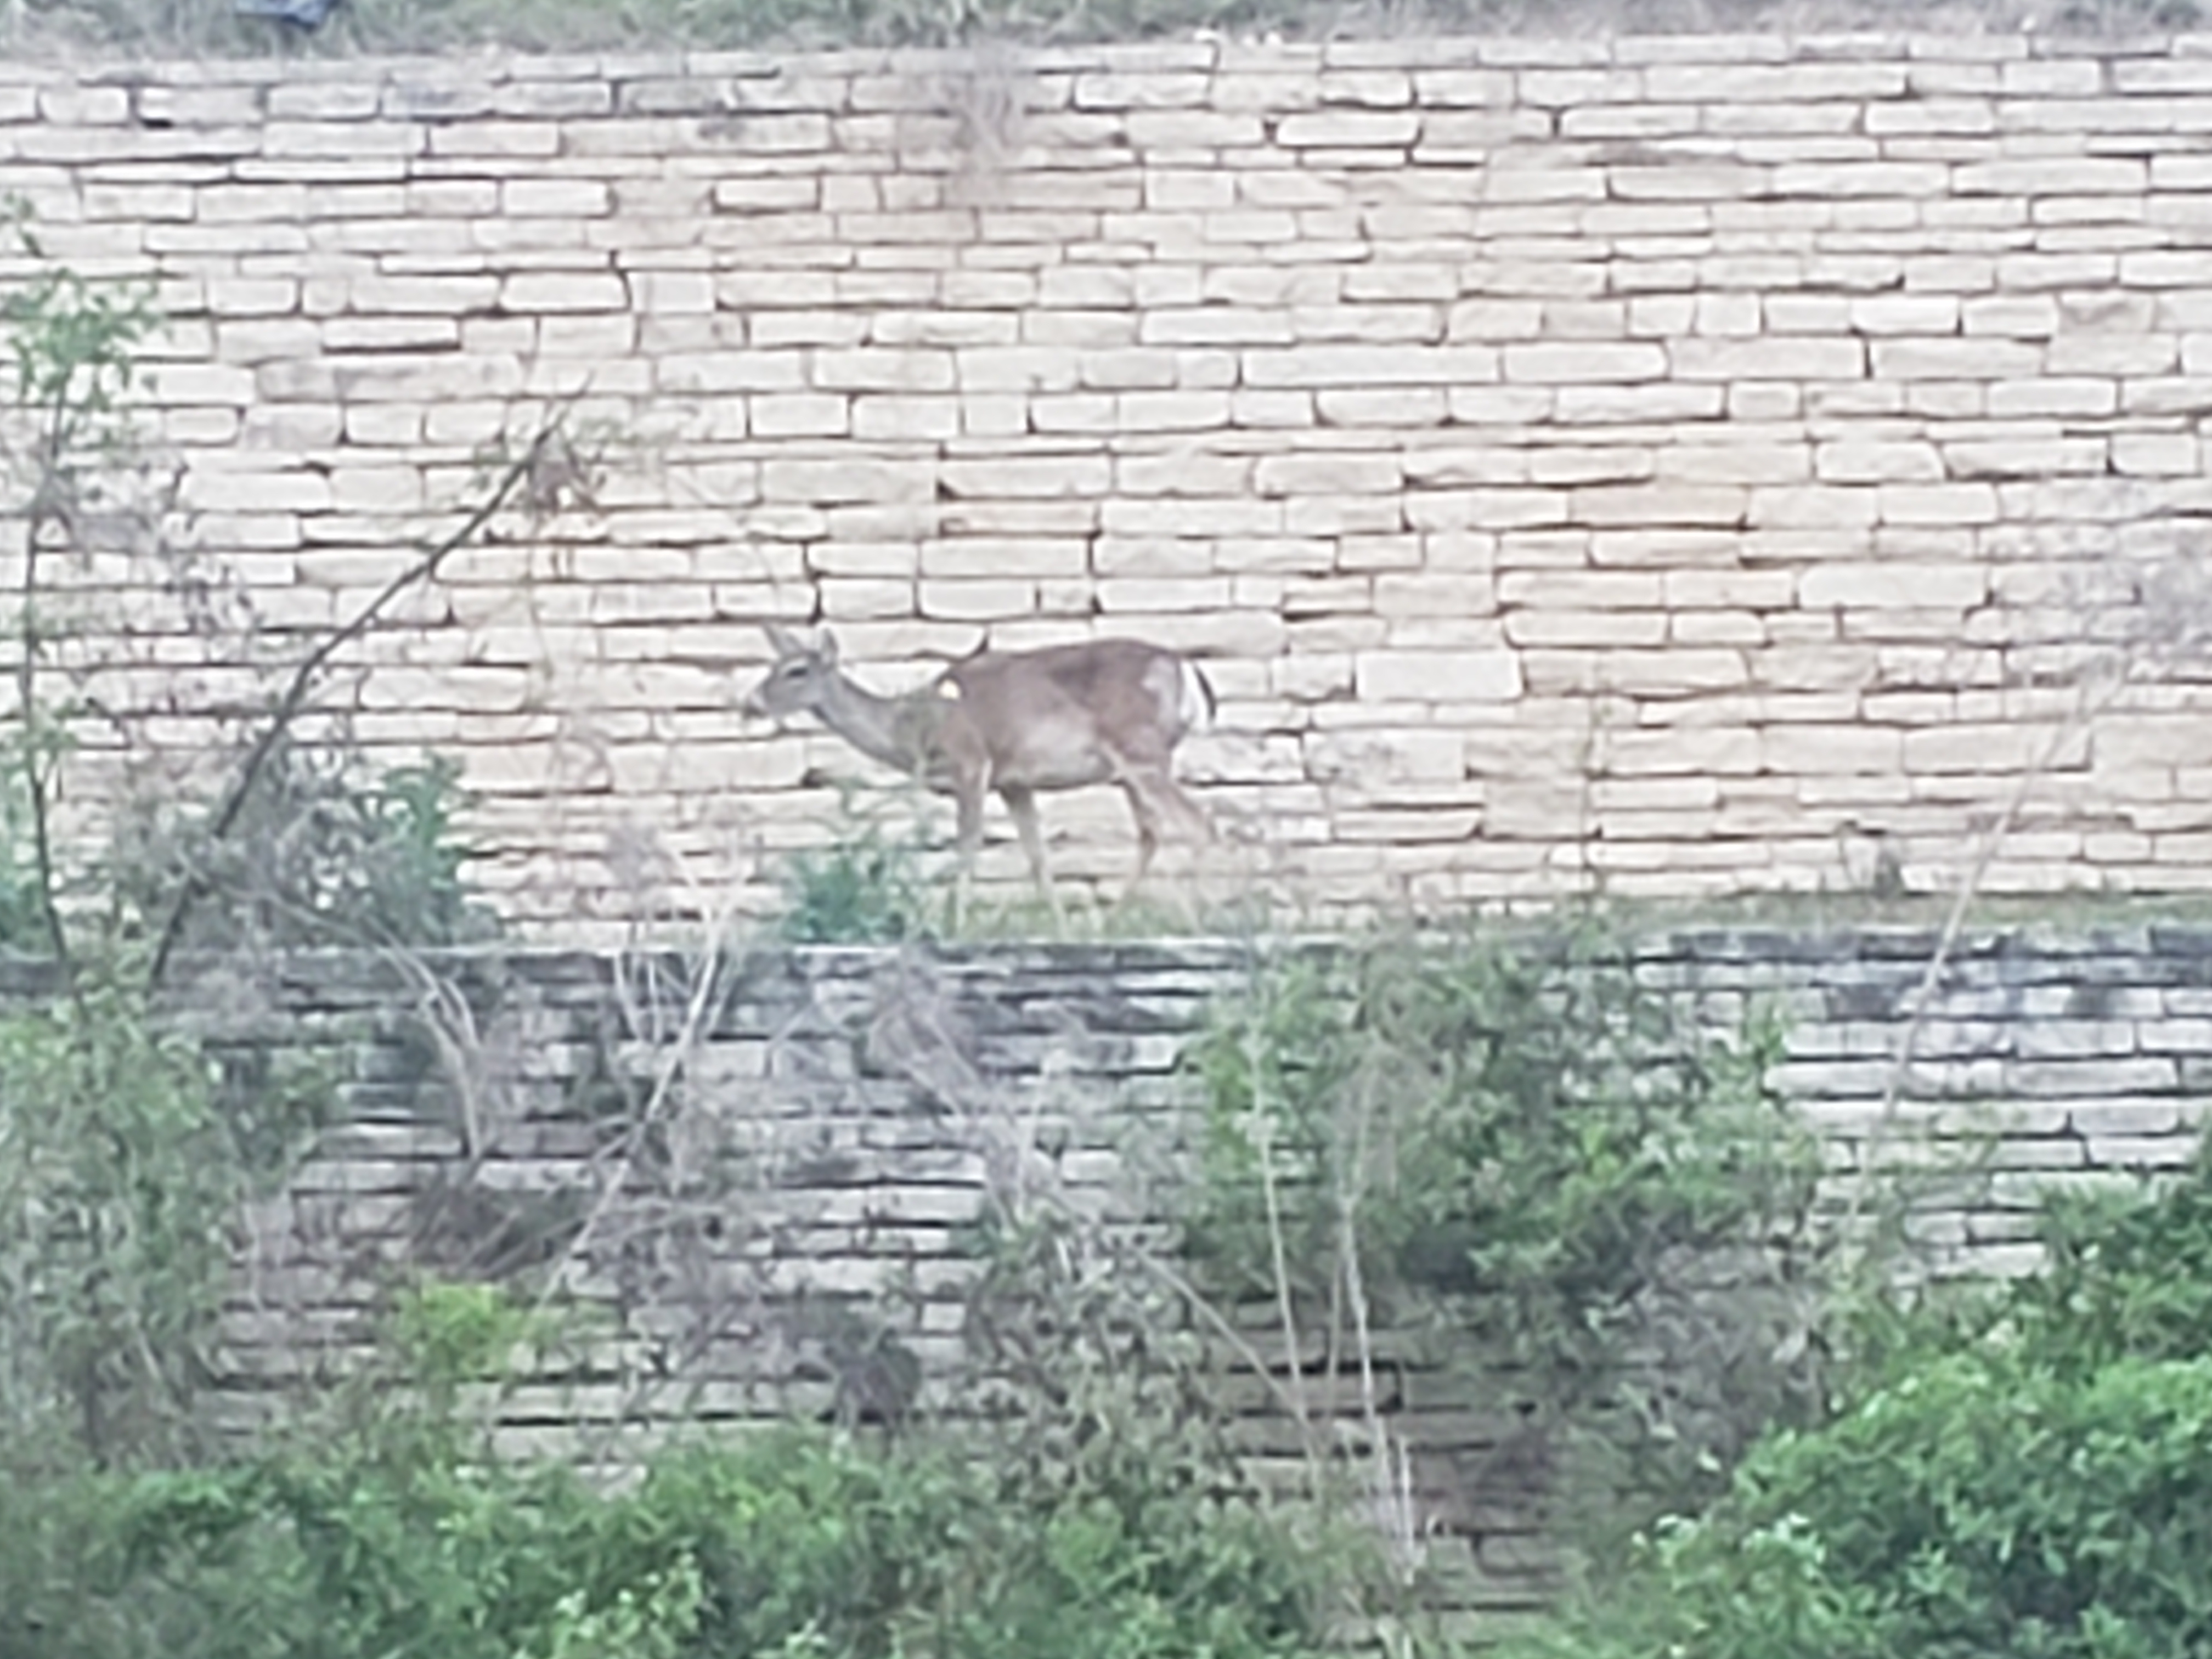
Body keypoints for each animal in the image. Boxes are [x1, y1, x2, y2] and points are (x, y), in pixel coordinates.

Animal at [740, 625, 1216, 916]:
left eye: (797, 670)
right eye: (771, 666)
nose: (750, 704)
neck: (914, 731)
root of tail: (1186, 669)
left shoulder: (970, 762)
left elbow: (967, 847)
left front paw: (955, 921)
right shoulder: (1014, 781)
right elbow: (1037, 855)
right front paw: (1059, 922)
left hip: (1140, 750)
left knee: (1198, 823)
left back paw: (1200, 917)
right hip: (1136, 764)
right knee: (1153, 832)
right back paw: (1112, 918)